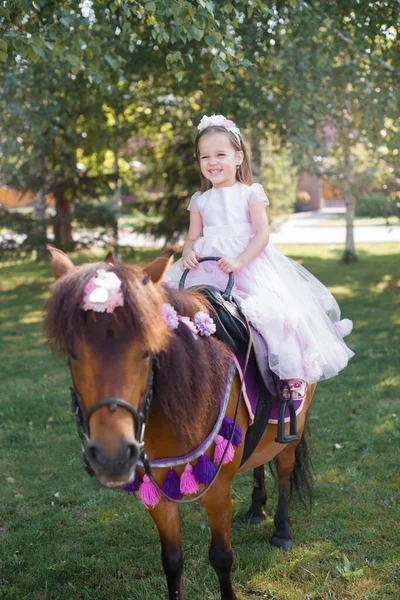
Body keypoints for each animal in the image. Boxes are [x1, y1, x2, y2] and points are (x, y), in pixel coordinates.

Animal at [44, 246, 316, 600]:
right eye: (72, 353)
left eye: (147, 352)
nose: (112, 457)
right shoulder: (157, 497)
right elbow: (172, 561)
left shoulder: (218, 493)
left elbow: (221, 558)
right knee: (258, 459)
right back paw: (257, 509)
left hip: (294, 429)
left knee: (283, 470)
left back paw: (282, 530)